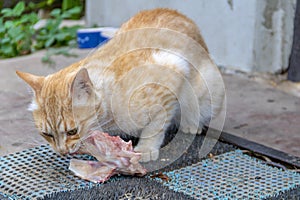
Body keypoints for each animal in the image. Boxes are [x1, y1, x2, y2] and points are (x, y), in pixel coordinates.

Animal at [15, 9, 224, 162]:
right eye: (46, 134)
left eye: (72, 131)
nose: (62, 152)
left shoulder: (173, 69)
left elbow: (155, 126)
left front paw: (146, 148)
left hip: (207, 91)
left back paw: (191, 123)